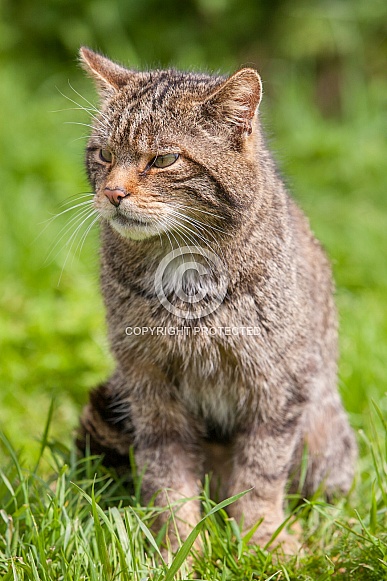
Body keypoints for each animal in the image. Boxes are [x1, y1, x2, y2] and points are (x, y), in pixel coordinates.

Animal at [76, 47, 358, 552]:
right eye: (104, 154)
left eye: (164, 159)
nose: (112, 193)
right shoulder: (148, 386)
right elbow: (168, 479)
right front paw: (178, 549)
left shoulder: (279, 385)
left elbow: (261, 473)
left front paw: (264, 543)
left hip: (325, 447)